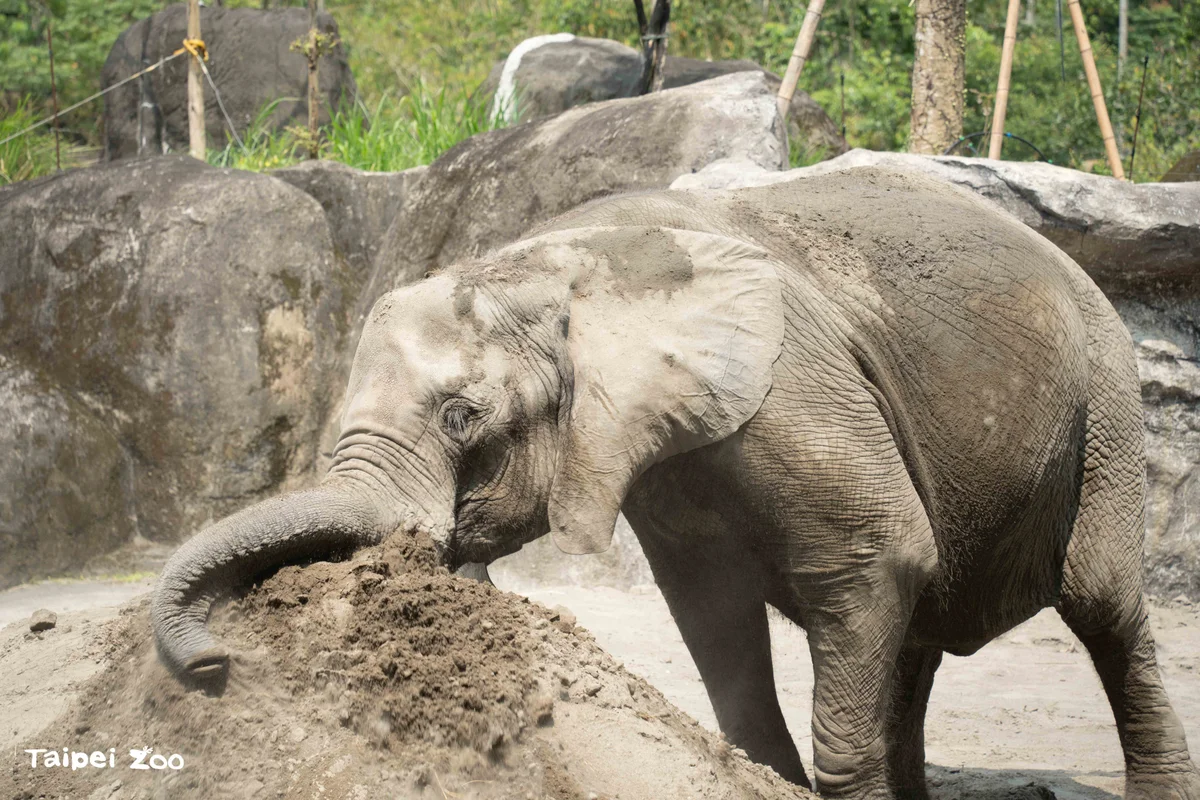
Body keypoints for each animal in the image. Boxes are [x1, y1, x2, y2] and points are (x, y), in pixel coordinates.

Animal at [152, 167, 1199, 799]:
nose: (215, 664)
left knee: (1098, 604)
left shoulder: (791, 385)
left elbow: (874, 555)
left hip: (1104, 396)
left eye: (463, 418)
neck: (554, 265)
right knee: (917, 636)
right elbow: (712, 608)